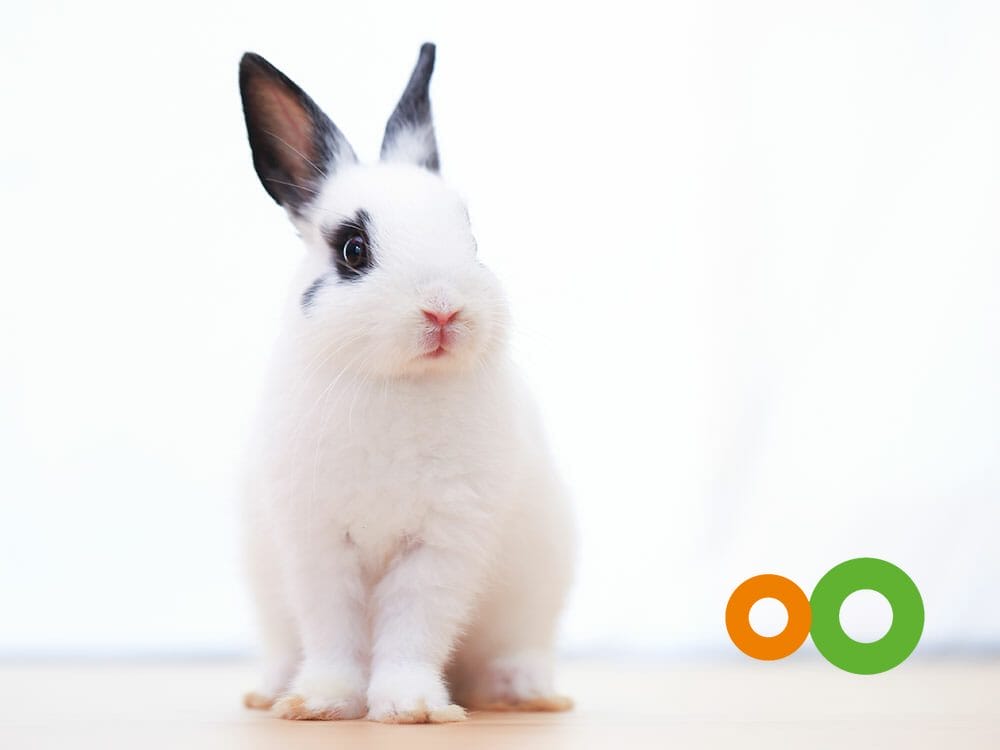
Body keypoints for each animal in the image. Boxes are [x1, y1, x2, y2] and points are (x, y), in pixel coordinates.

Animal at [236, 43, 576, 724]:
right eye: (353, 249)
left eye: (471, 236)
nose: (443, 309)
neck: (396, 384)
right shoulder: (318, 543)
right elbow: (333, 633)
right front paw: (321, 703)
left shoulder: (441, 545)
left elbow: (412, 631)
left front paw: (411, 708)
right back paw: (270, 691)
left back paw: (527, 694)